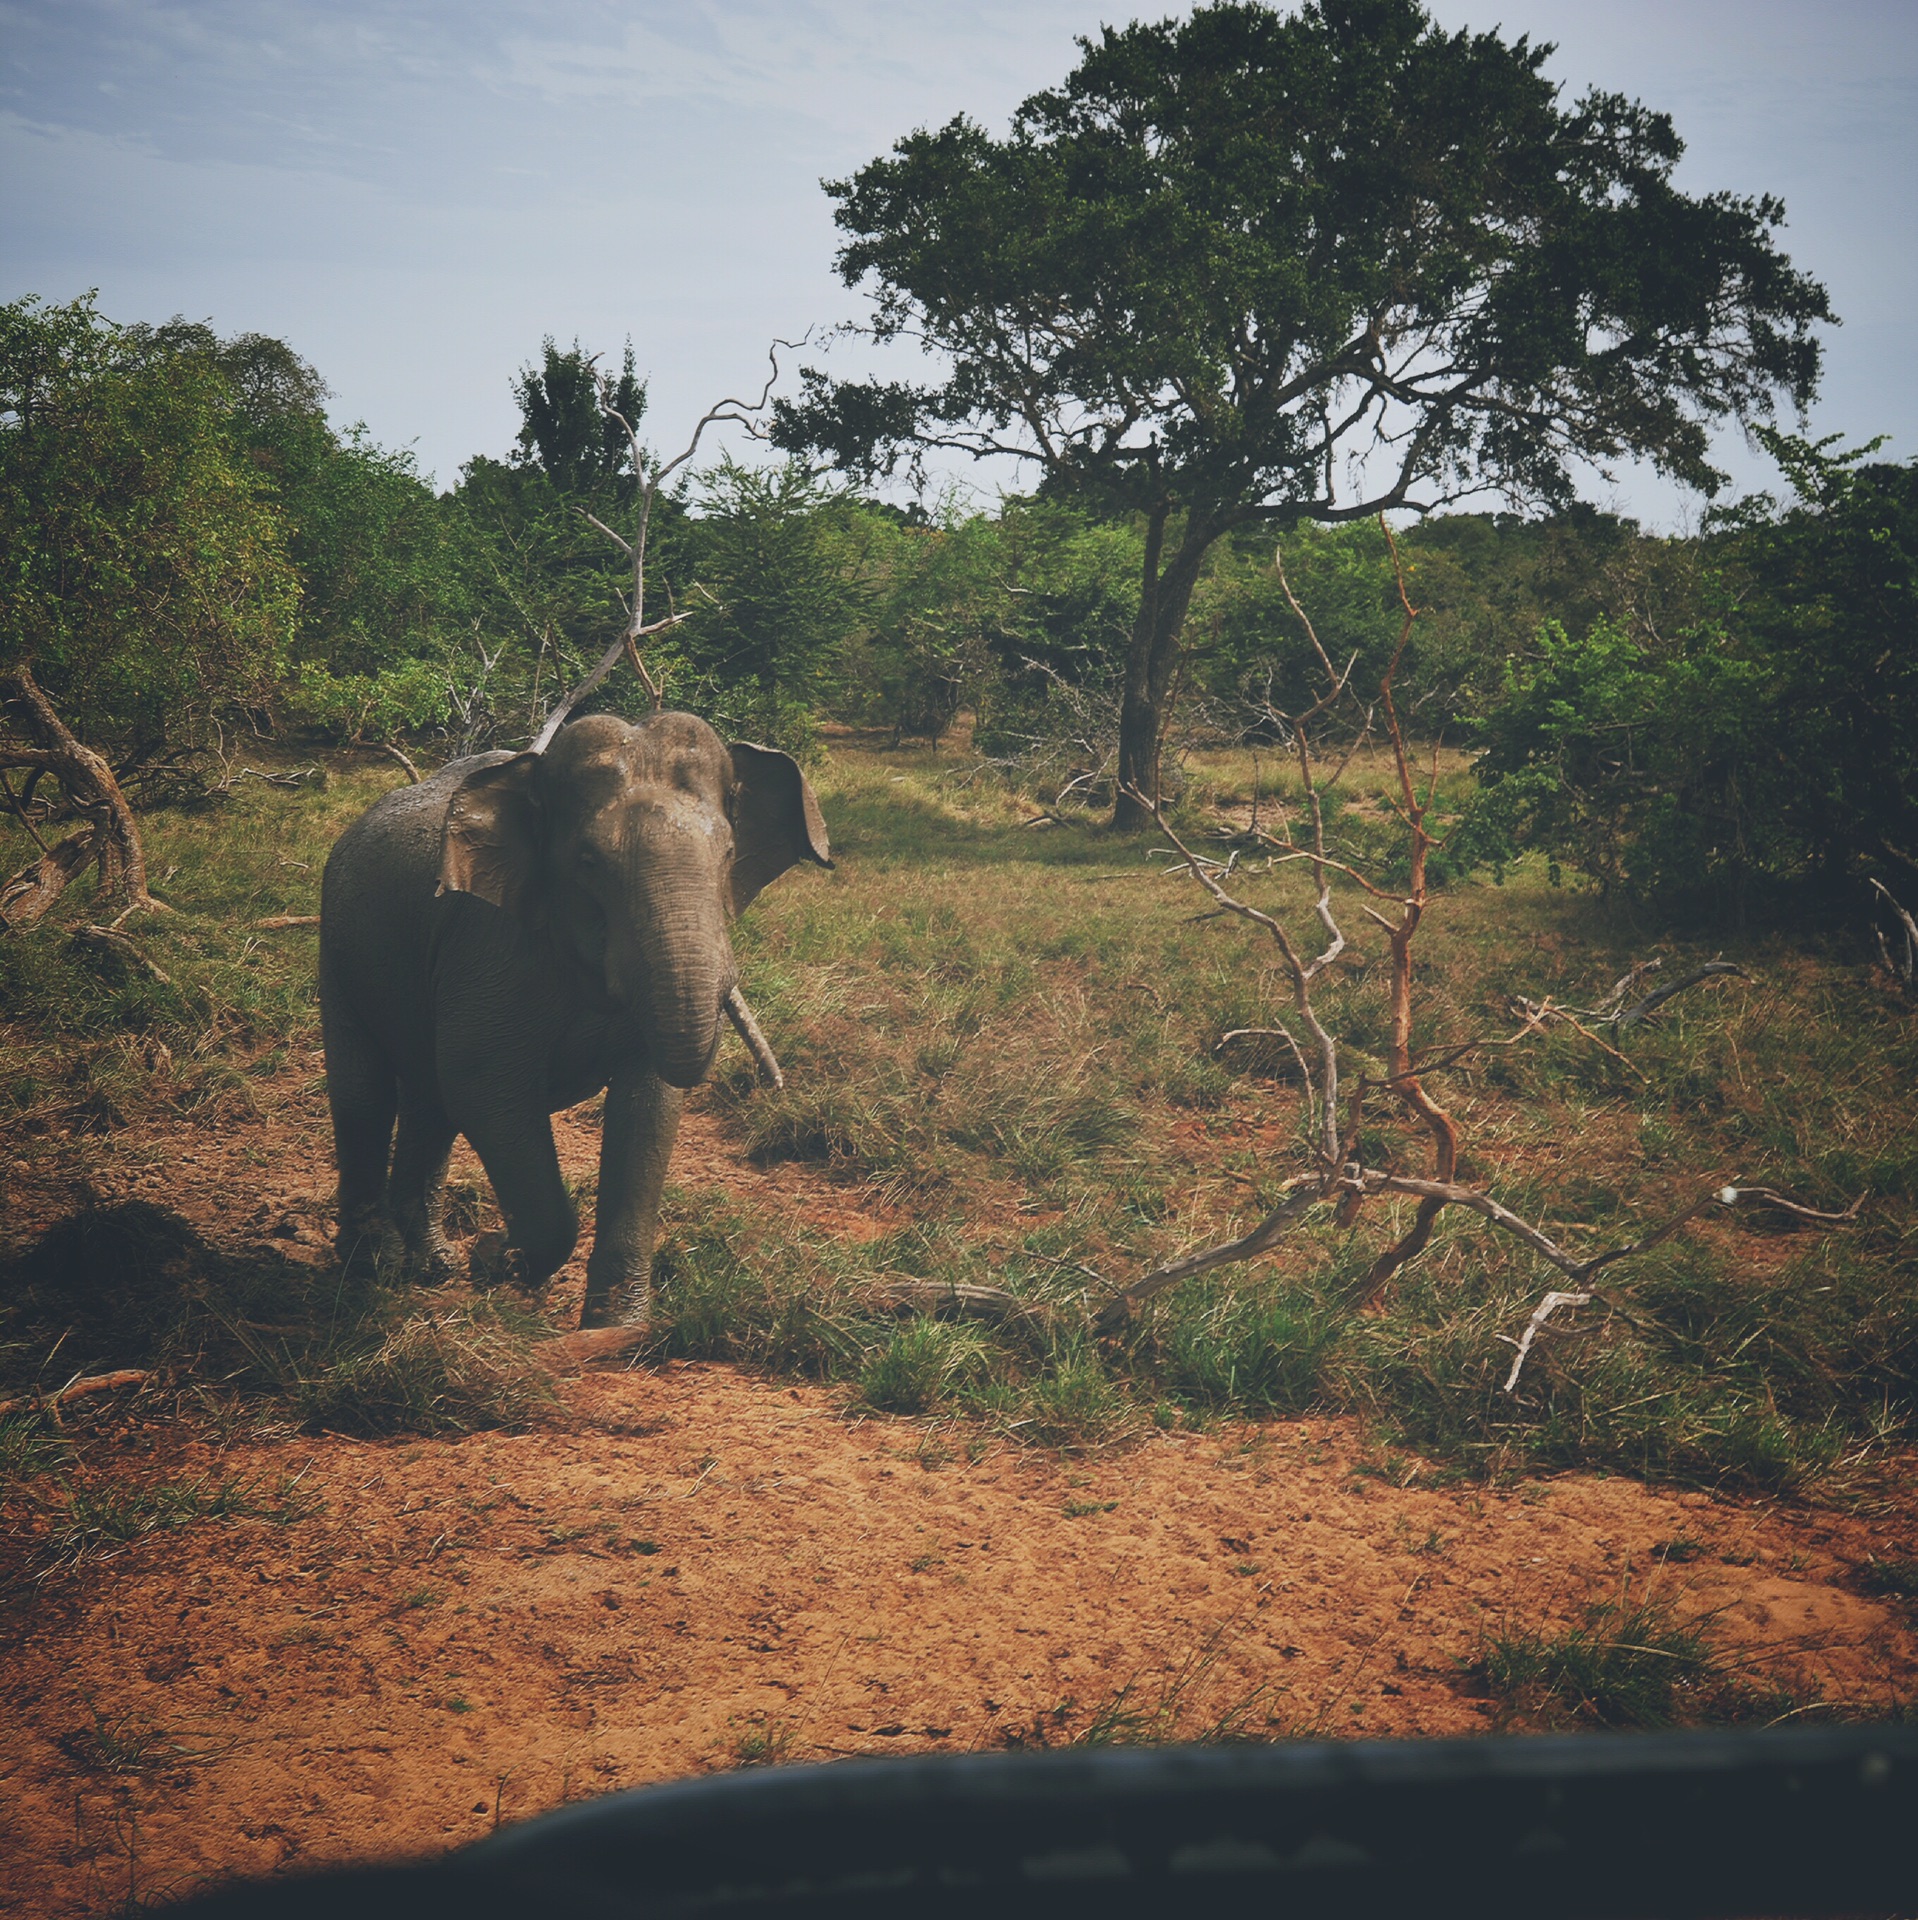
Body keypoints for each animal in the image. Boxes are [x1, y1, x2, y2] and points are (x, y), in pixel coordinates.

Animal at [318, 714, 829, 1328]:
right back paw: (376, 1268)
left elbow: (649, 1105)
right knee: (366, 1092)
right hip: (339, 944)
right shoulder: (490, 943)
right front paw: (499, 1261)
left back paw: (433, 1265)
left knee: (429, 1098)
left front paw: (614, 1327)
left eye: (729, 854)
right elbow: (482, 1086)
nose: (775, 1086)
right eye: (588, 862)